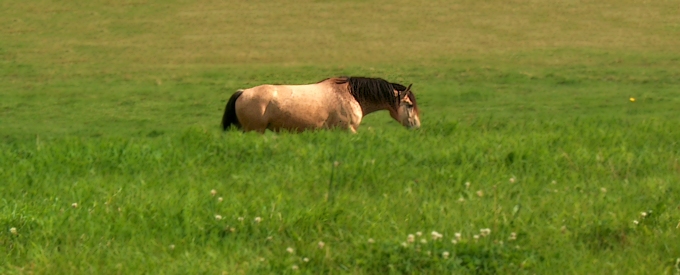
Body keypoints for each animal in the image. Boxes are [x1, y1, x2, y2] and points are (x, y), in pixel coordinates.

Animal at [220, 76, 420, 134]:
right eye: (409, 105)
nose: (417, 126)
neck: (350, 95)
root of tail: (243, 92)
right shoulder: (348, 130)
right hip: (255, 131)